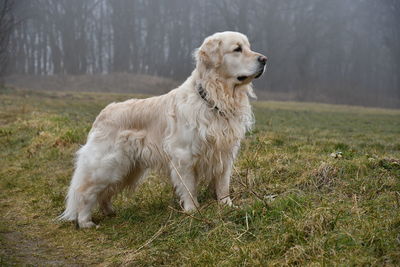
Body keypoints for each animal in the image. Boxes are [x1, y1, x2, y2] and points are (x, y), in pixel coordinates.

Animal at [59, 31, 266, 228]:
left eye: (248, 47)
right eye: (237, 49)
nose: (264, 59)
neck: (214, 98)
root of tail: (103, 113)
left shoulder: (225, 153)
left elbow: (223, 184)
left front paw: (227, 206)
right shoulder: (184, 155)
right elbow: (189, 187)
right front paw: (193, 211)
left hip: (127, 169)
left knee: (105, 193)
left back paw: (110, 212)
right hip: (107, 166)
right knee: (85, 192)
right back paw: (85, 222)